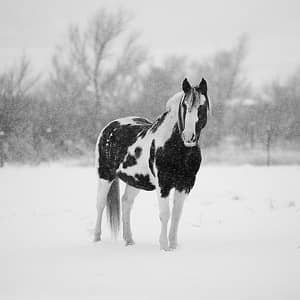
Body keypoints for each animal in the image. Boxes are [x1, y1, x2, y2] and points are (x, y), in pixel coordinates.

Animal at [95, 78, 210, 251]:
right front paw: (164, 246)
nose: (189, 136)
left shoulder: (185, 185)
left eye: (202, 106)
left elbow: (176, 215)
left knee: (126, 203)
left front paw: (174, 245)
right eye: (184, 106)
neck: (176, 147)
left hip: (135, 181)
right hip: (105, 175)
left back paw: (129, 241)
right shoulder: (163, 185)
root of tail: (109, 127)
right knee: (100, 204)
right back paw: (96, 239)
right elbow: (165, 214)